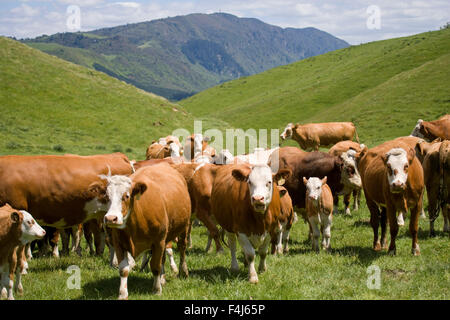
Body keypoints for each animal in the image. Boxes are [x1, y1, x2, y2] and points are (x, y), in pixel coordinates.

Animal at [97, 164, 191, 298]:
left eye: (126, 196)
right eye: (106, 196)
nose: (111, 218)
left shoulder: (158, 241)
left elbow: (155, 266)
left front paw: (156, 289)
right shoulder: (119, 243)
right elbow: (123, 269)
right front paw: (123, 293)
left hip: (184, 227)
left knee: (182, 248)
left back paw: (183, 271)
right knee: (163, 258)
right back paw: (162, 278)